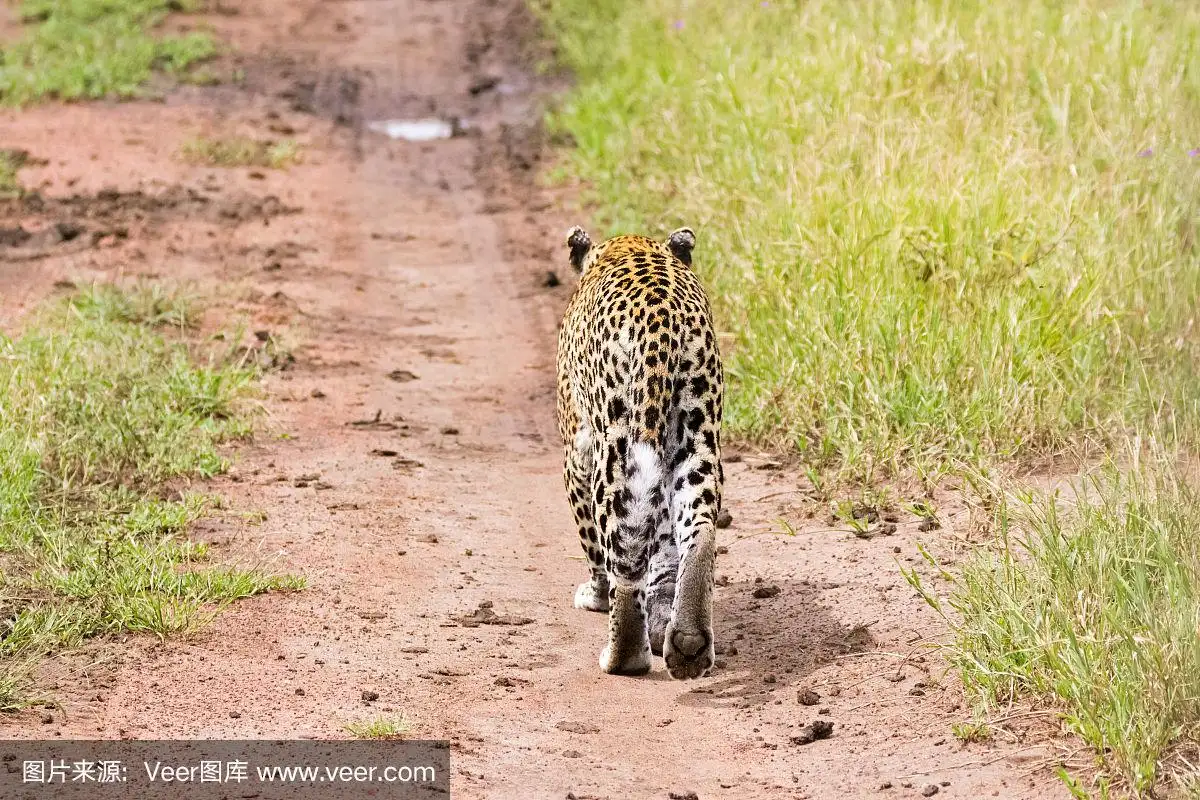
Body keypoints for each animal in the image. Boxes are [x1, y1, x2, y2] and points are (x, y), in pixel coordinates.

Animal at [556, 225, 724, 681]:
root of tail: (660, 320)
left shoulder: (576, 453)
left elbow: (594, 544)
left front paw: (595, 595)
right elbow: (665, 548)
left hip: (615, 449)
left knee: (623, 550)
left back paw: (625, 655)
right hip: (697, 440)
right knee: (699, 530)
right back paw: (687, 642)